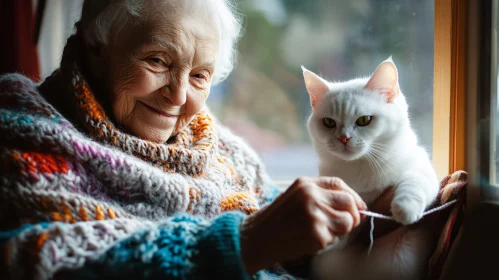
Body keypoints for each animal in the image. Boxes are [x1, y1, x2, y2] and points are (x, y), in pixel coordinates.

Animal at [302, 57, 440, 280]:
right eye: (329, 122)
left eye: (364, 120)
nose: (343, 138)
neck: (362, 165)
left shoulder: (420, 166)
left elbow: (414, 181)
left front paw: (405, 208)